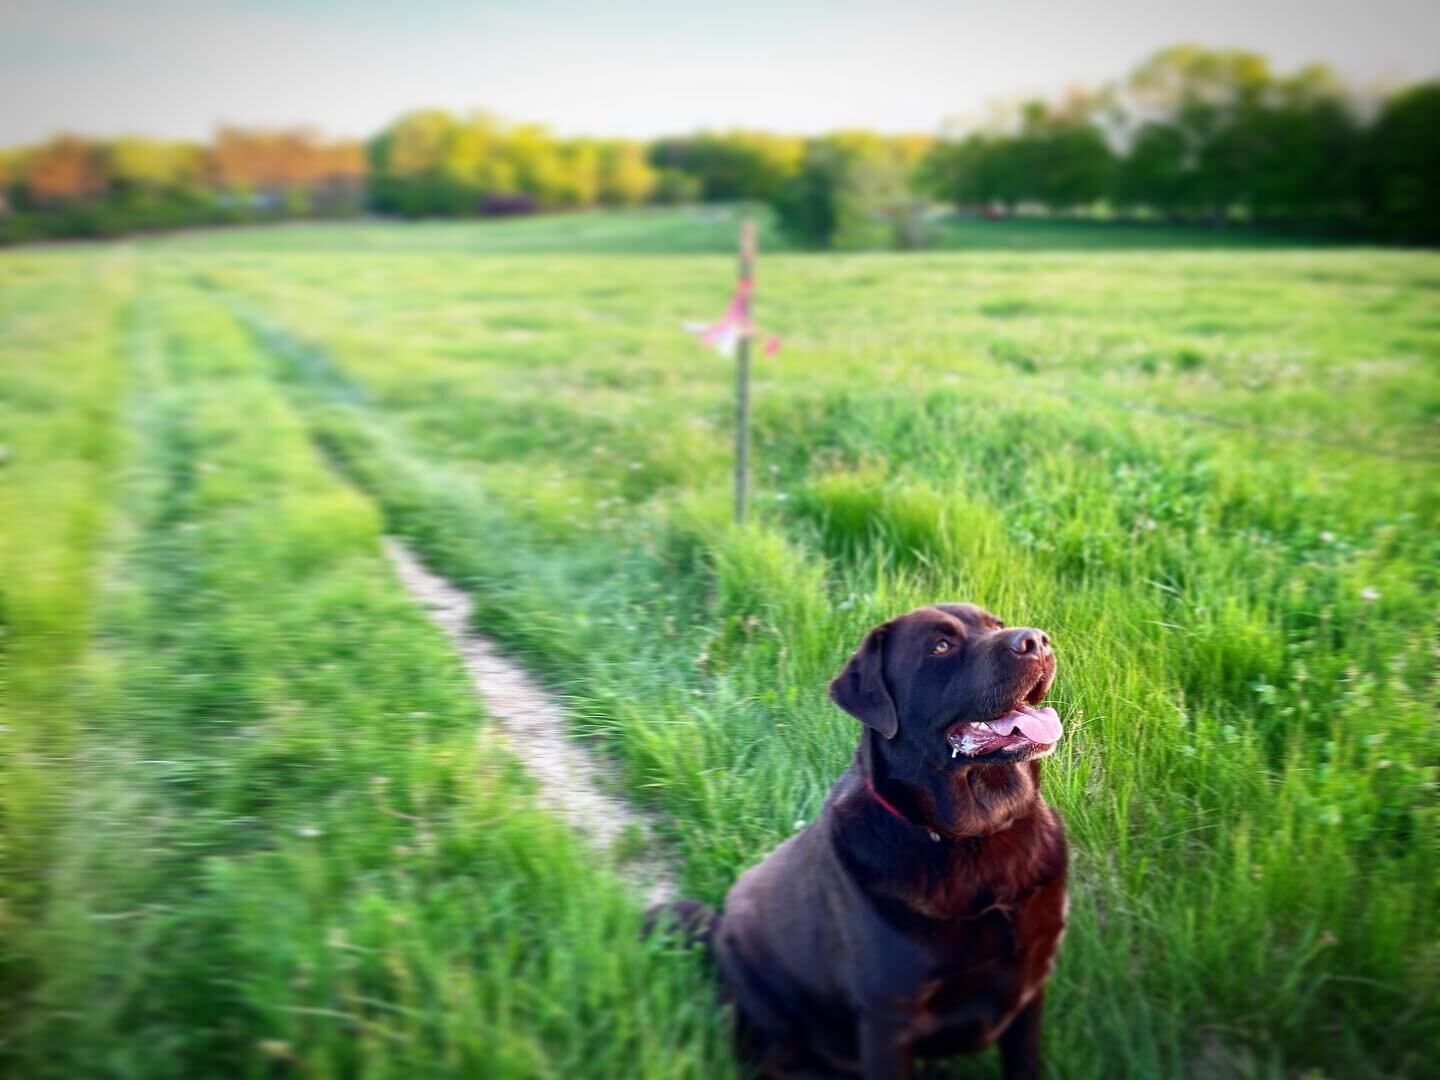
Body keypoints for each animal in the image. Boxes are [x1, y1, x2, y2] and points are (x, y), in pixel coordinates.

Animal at [653, 604, 1071, 1077]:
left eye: (996, 626)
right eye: (940, 645)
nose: (1036, 640)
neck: (978, 837)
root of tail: (721, 925)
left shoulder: (1031, 983)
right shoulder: (888, 1019)